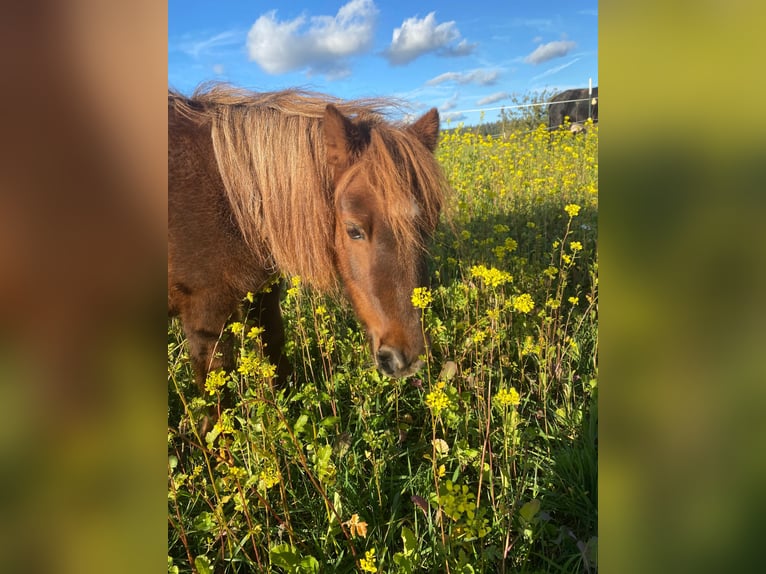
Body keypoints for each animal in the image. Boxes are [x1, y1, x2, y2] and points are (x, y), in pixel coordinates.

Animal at [165, 84, 448, 400]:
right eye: (353, 230)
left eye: (429, 227)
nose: (405, 359)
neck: (232, 202)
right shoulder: (206, 317)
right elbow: (218, 398)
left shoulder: (263, 295)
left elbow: (276, 355)